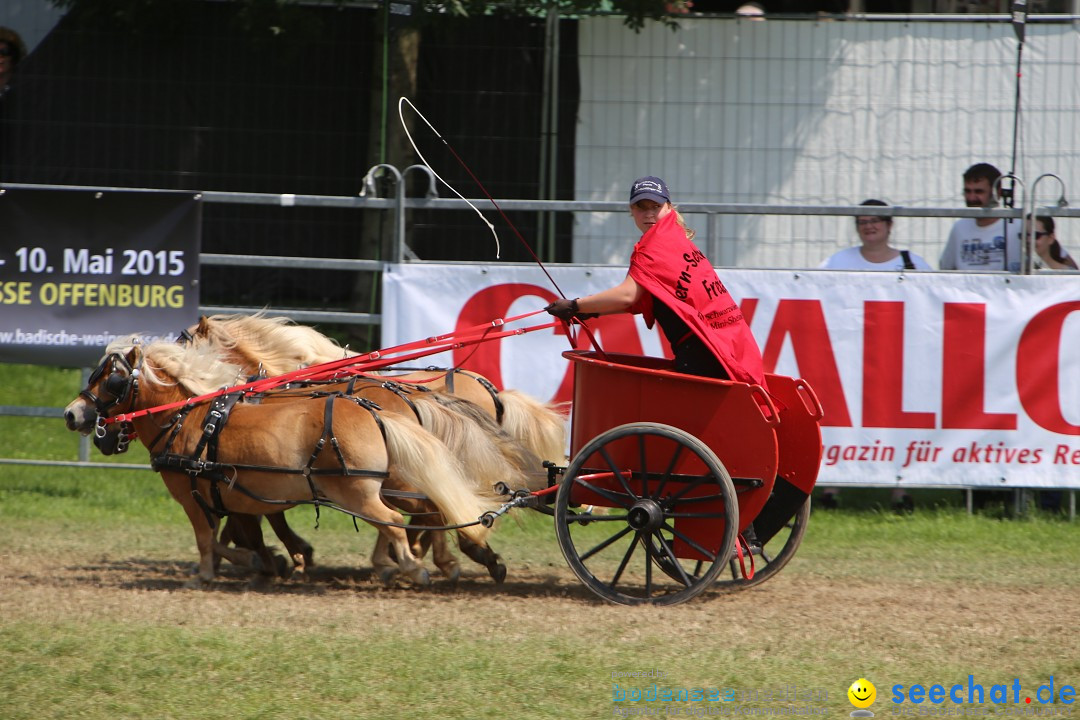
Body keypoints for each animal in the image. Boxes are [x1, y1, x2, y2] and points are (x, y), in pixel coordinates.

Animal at [66, 341, 501, 587]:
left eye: (112, 380)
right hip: (390, 484)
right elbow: (236, 535)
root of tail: (379, 412)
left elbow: (209, 538)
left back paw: (413, 566)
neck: (187, 419)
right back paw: (447, 560)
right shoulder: (237, 495)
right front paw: (274, 560)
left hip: (361, 491)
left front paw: (214, 572)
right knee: (428, 509)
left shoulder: (196, 497)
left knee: (395, 520)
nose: (72, 414)